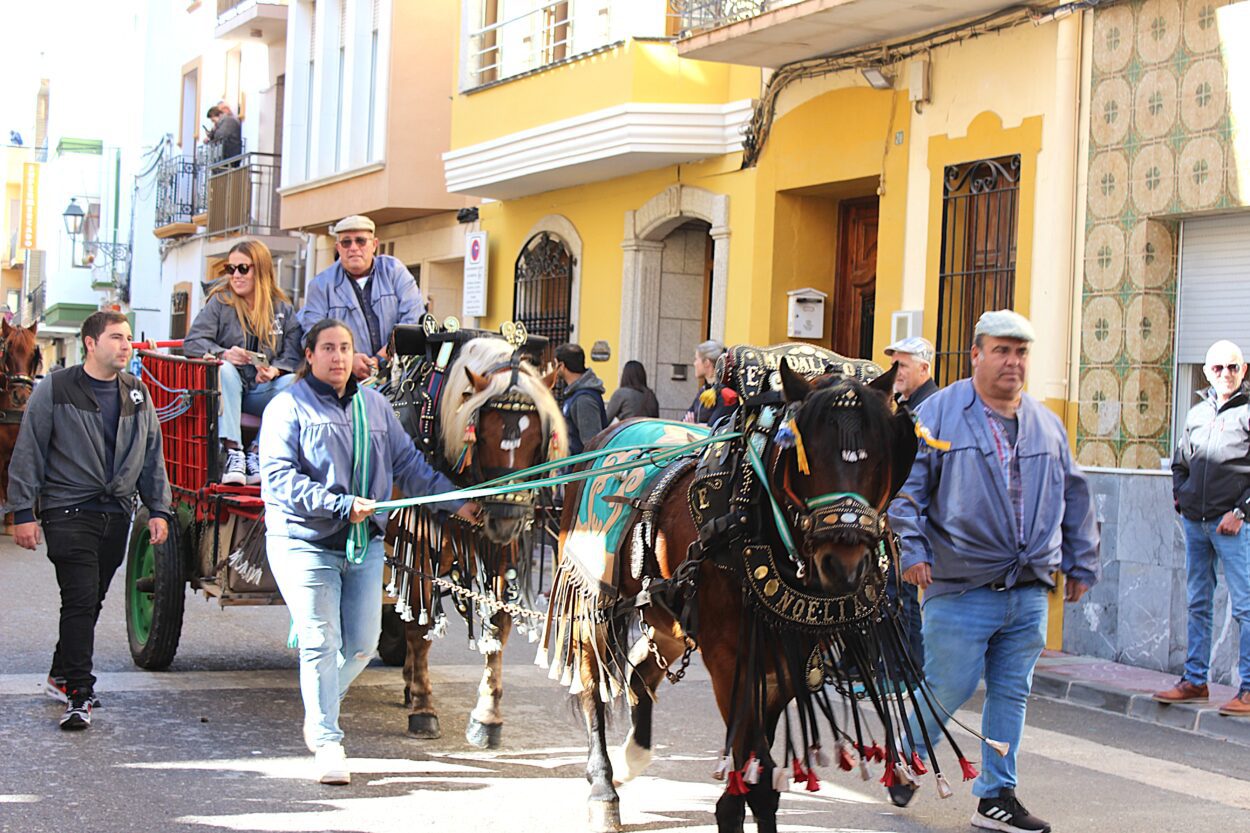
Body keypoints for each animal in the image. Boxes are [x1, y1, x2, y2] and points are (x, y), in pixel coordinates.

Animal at [389, 335, 567, 747]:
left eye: (537, 439)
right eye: (482, 435)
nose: (506, 519)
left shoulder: (503, 555)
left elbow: (498, 626)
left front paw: (487, 715)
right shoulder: (419, 550)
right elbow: (419, 628)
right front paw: (424, 707)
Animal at [547, 352, 931, 833]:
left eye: (880, 456)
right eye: (804, 458)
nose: (843, 564)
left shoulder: (785, 664)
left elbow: (760, 774)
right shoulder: (732, 662)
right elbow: (749, 766)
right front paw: (730, 808)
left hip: (669, 614)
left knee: (640, 674)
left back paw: (634, 755)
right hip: (592, 599)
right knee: (590, 685)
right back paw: (603, 787)